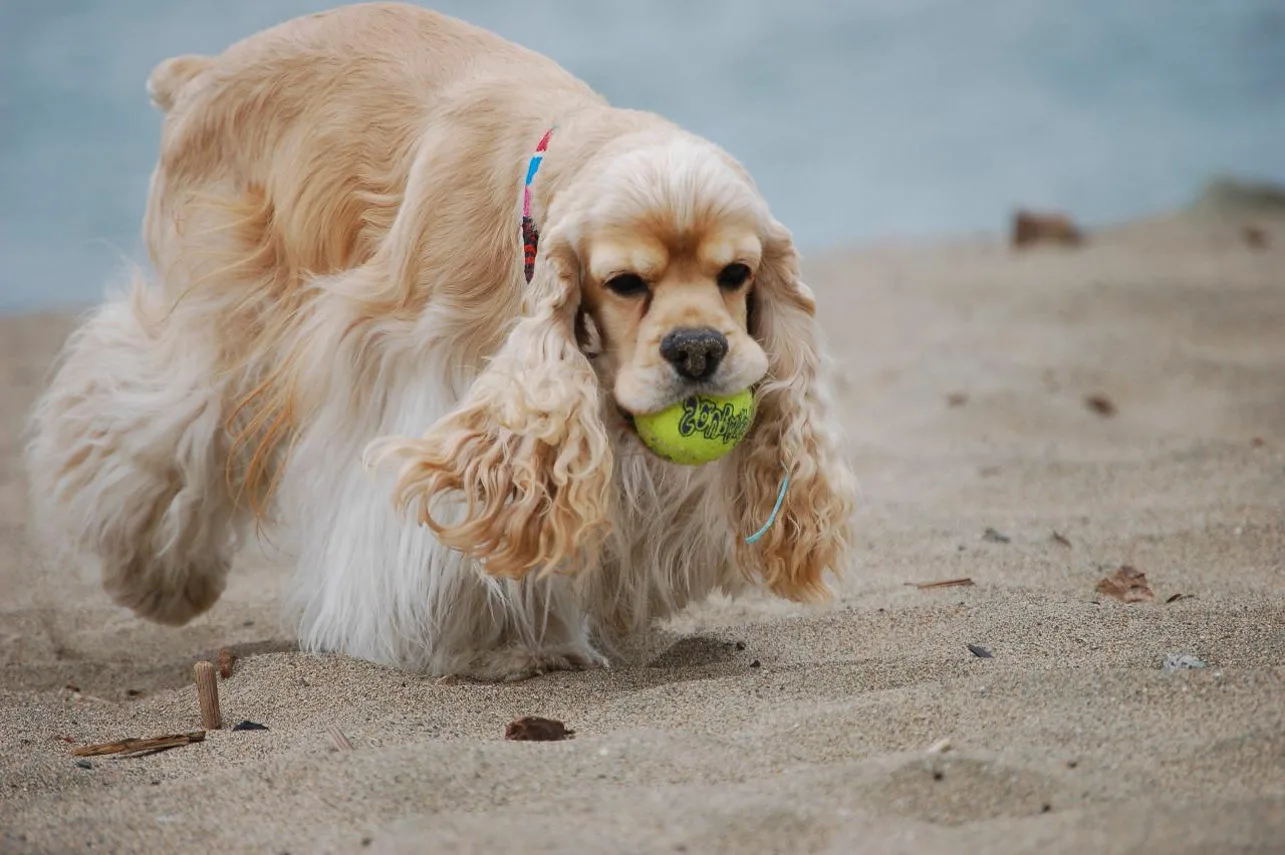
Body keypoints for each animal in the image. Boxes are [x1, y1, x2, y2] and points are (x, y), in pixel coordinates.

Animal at [25, 3, 853, 678]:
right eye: (623, 282)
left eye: (735, 273)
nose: (697, 351)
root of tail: (201, 71)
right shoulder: (417, 365)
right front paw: (497, 645)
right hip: (226, 316)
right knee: (154, 419)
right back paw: (158, 581)